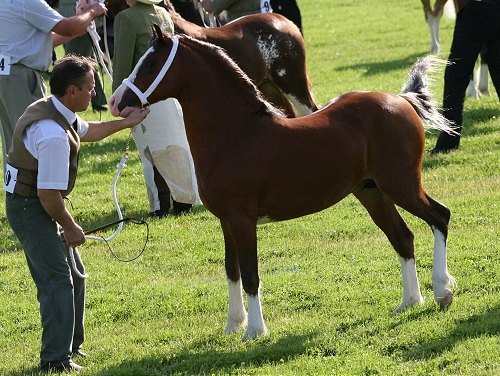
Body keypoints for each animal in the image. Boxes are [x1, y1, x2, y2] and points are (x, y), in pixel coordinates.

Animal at [112, 28, 458, 340]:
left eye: (149, 63)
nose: (116, 102)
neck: (235, 132)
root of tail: (400, 100)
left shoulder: (242, 220)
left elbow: (250, 274)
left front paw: (254, 331)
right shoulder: (225, 220)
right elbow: (231, 270)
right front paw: (233, 325)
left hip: (402, 185)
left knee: (440, 217)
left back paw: (442, 291)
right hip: (373, 193)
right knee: (403, 238)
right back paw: (410, 301)